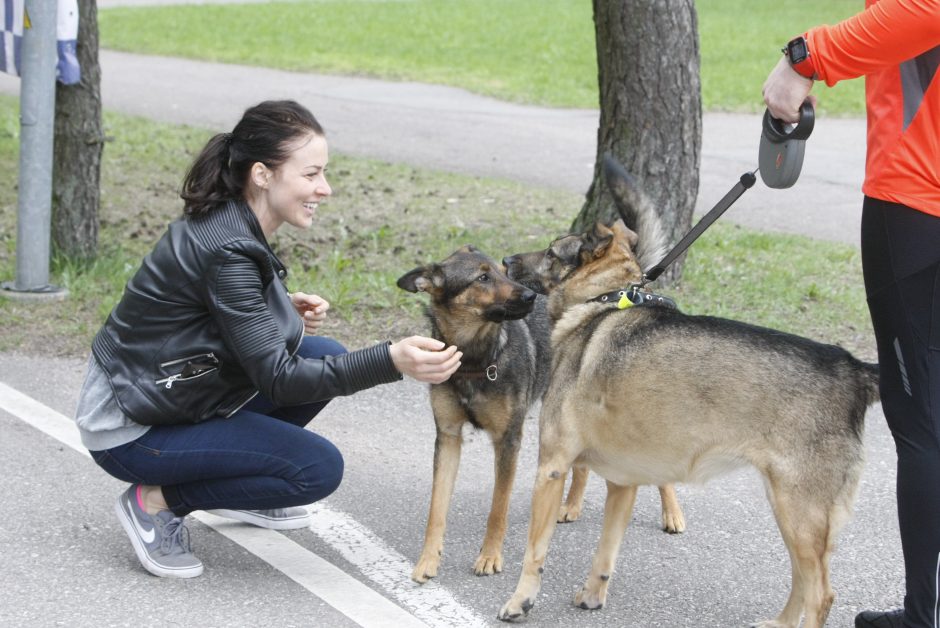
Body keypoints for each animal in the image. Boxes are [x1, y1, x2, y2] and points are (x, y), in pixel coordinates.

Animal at [394, 244, 684, 584]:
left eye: (501, 272)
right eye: (482, 278)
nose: (530, 297)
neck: (475, 358)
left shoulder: (508, 440)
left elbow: (498, 508)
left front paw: (490, 557)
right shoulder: (448, 436)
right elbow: (436, 509)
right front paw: (428, 560)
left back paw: (672, 513)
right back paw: (571, 504)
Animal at [500, 157, 880, 628]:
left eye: (553, 253)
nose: (505, 259)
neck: (602, 300)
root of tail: (853, 369)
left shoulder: (551, 468)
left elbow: (534, 553)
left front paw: (520, 601)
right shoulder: (623, 483)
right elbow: (605, 553)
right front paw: (592, 596)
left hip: (801, 514)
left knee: (821, 595)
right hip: (791, 513)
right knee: (802, 582)